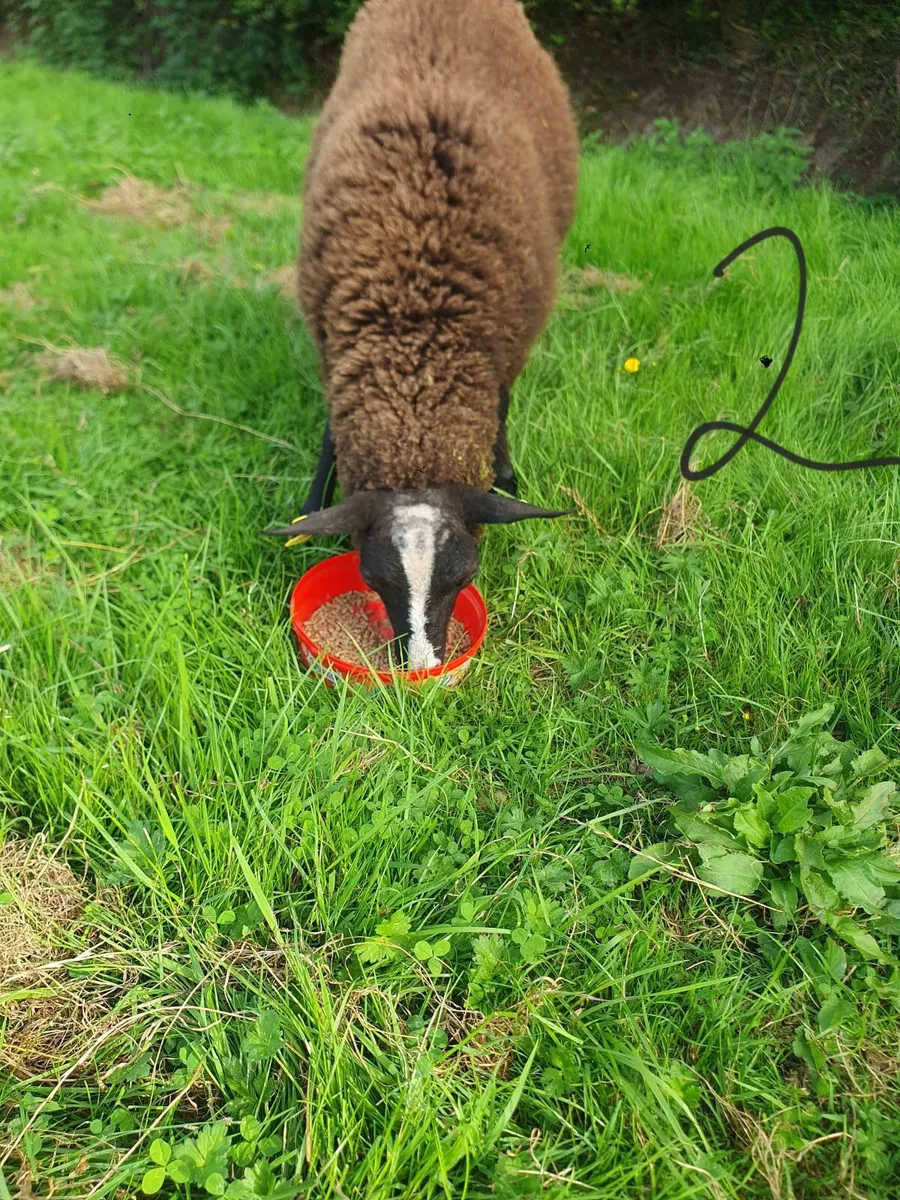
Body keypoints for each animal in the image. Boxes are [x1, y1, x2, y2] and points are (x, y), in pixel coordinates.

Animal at [266, 0, 580, 669]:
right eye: (371, 578)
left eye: (466, 577)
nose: (424, 668)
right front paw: (310, 504)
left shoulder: (503, 347)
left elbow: (502, 407)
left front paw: (505, 475)